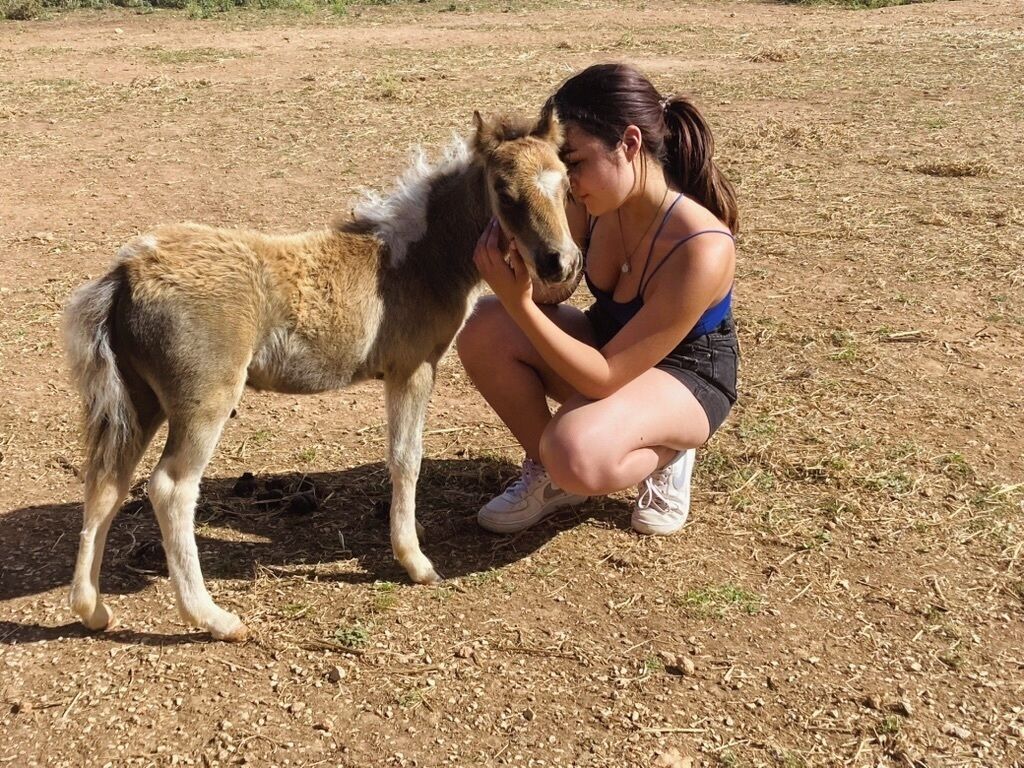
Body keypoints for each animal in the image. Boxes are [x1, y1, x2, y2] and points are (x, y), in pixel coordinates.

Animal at [62, 109, 580, 641]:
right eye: (504, 191)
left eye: (565, 184)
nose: (559, 263)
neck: (417, 259)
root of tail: (125, 274)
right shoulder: (412, 369)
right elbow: (406, 457)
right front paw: (414, 560)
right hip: (203, 401)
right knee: (170, 488)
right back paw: (213, 618)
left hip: (140, 399)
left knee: (107, 481)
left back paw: (92, 609)